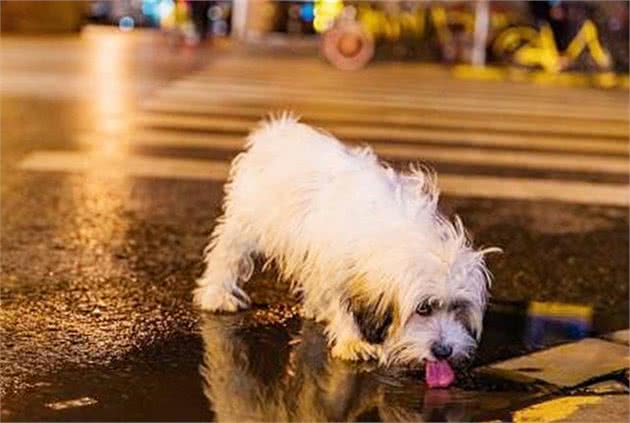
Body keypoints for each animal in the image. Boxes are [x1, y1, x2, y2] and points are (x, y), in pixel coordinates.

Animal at [195, 114, 502, 390]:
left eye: (458, 307)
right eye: (423, 308)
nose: (443, 351)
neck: (397, 233)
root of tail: (279, 129)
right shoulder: (336, 267)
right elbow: (341, 303)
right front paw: (353, 341)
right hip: (248, 222)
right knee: (227, 253)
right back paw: (218, 294)